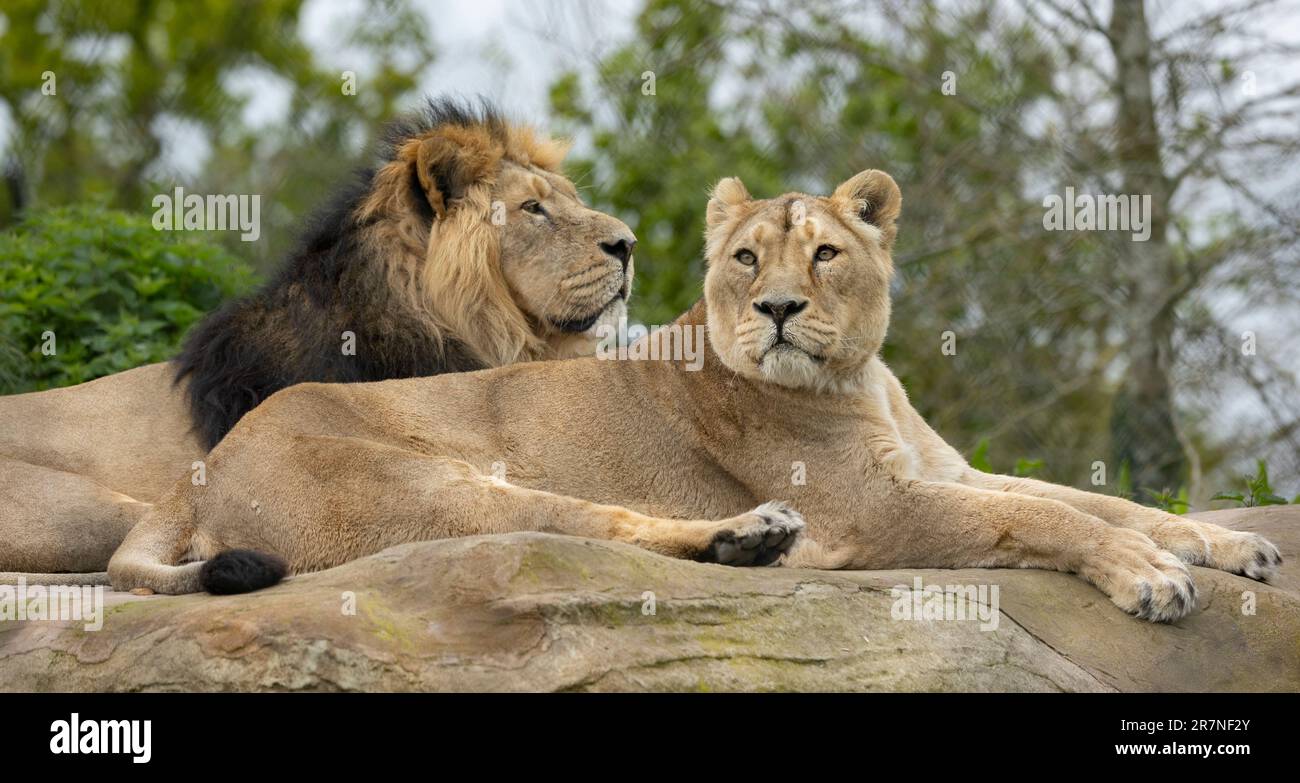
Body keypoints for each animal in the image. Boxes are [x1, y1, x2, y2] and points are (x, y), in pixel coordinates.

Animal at [106, 168, 1280, 623]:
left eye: (823, 253)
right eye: (746, 257)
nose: (776, 310)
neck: (862, 376)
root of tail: (201, 469)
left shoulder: (939, 468)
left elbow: (1097, 500)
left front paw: (1234, 545)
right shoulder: (880, 508)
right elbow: (1048, 519)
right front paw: (1151, 578)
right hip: (448, 488)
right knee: (590, 530)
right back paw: (754, 537)